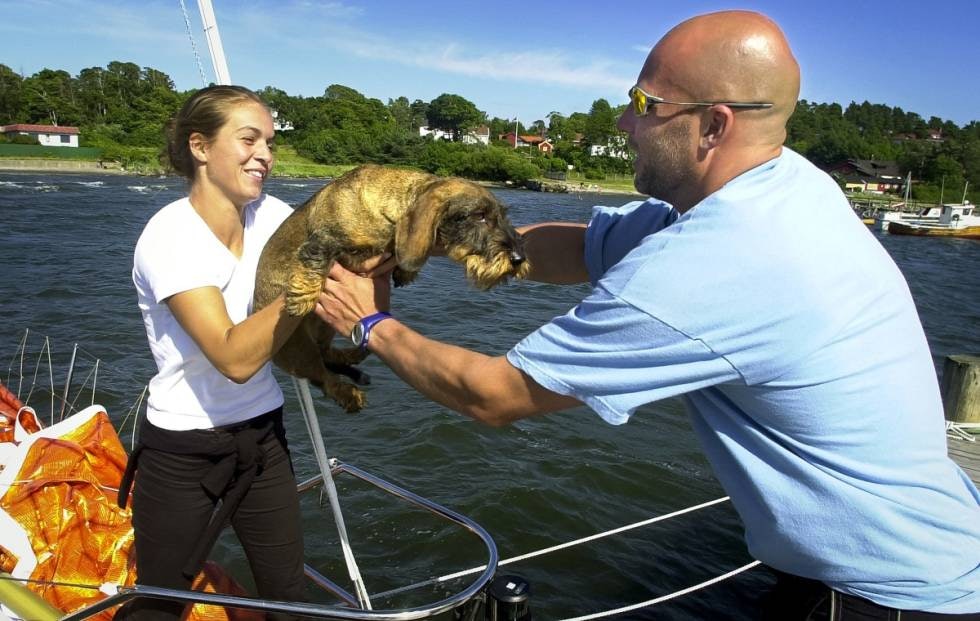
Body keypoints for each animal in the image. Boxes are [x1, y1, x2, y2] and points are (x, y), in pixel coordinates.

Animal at [253, 165, 528, 412]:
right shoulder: (324, 240)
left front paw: (405, 271)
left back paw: (352, 357)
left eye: (503, 216)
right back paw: (349, 393)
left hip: (324, 330)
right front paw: (301, 299)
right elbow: (317, 260)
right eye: (479, 215)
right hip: (300, 348)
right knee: (323, 378)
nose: (518, 259)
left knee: (327, 358)